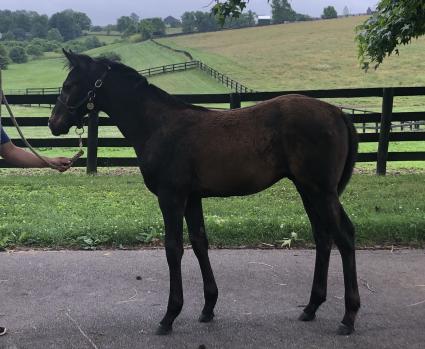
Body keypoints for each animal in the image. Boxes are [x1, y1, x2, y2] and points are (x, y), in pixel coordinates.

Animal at [50, 50, 362, 336]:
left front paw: (169, 316)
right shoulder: (192, 198)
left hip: (321, 191)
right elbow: (200, 242)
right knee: (323, 237)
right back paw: (311, 307)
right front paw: (208, 307)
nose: (54, 123)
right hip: (307, 189)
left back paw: (348, 316)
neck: (158, 126)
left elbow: (173, 248)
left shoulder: (171, 197)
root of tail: (338, 113)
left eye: (69, 85)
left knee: (345, 236)